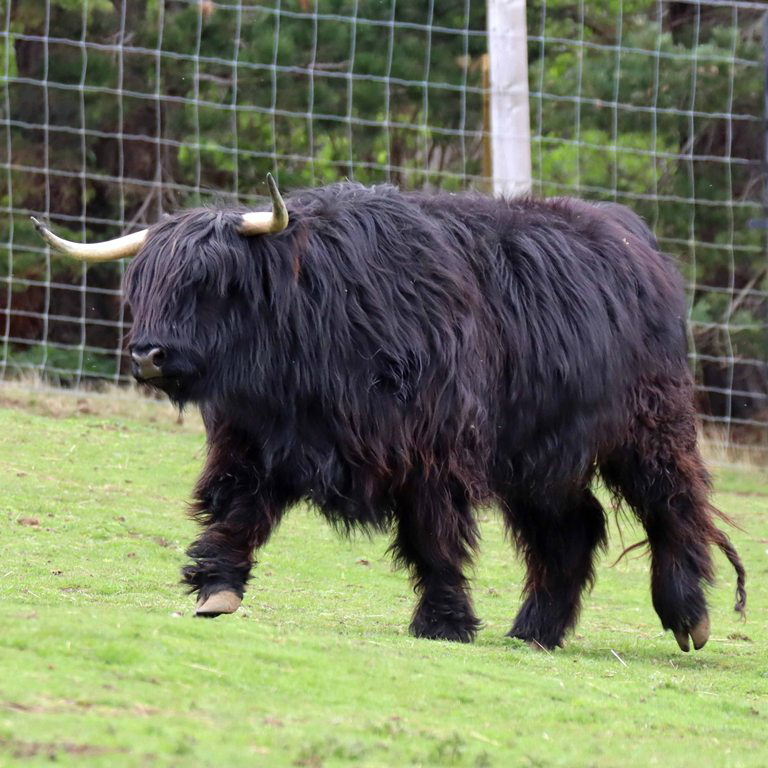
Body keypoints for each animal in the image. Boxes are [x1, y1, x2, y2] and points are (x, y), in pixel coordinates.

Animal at [33, 175, 746, 651]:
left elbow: (433, 535)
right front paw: (216, 590)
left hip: (648, 425)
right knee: (571, 528)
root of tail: (637, 241)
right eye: (142, 284)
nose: (148, 354)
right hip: (538, 456)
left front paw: (444, 623)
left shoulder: (431, 449)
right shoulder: (254, 440)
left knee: (673, 502)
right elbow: (236, 509)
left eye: (212, 284)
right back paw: (533, 632)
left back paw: (689, 617)